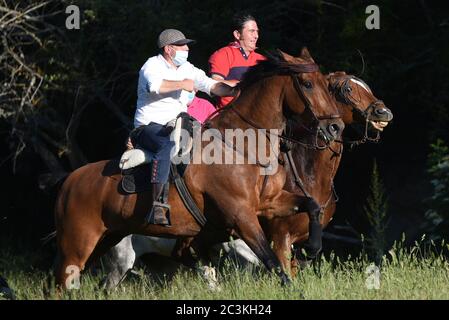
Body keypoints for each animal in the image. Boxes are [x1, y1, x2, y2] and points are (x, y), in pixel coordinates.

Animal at [52, 48, 344, 288]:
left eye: (326, 85)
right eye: (307, 84)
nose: (335, 127)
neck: (241, 146)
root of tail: (69, 182)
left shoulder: (269, 204)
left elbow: (311, 206)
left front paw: (312, 248)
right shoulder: (242, 217)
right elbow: (273, 262)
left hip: (106, 241)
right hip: (77, 246)